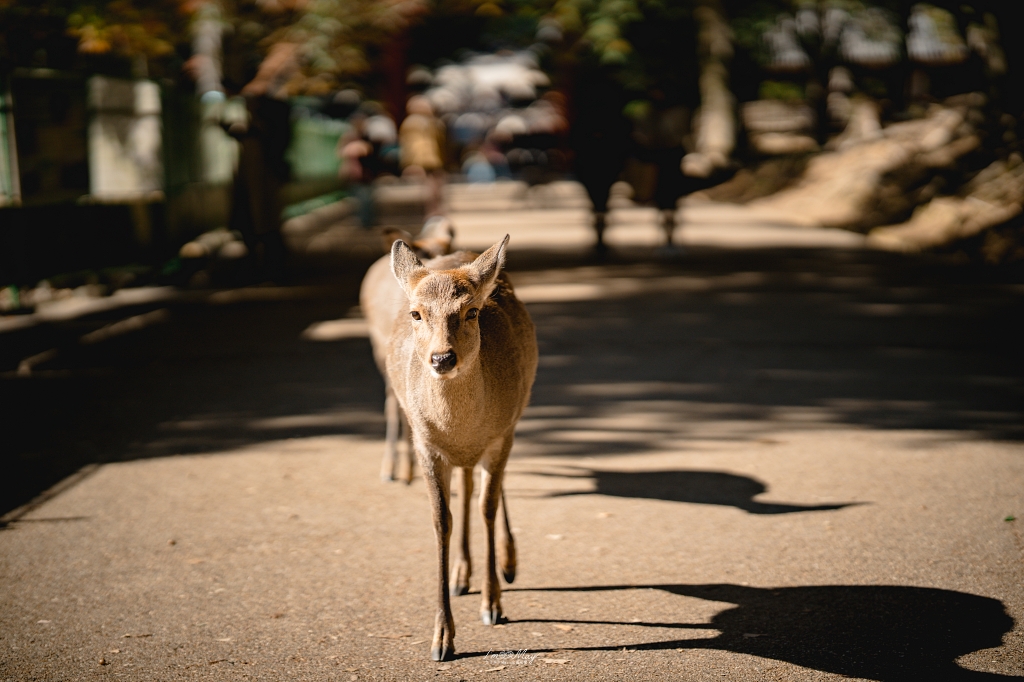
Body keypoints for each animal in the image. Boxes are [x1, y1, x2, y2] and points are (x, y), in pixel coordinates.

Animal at [387, 233, 540, 659]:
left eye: (472, 312)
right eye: (416, 313)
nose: (442, 358)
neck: (459, 429)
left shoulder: (500, 436)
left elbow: (487, 507)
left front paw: (493, 605)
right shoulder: (425, 444)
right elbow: (442, 519)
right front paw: (441, 638)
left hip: (515, 417)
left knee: (486, 491)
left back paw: (507, 563)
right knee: (466, 486)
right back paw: (461, 574)